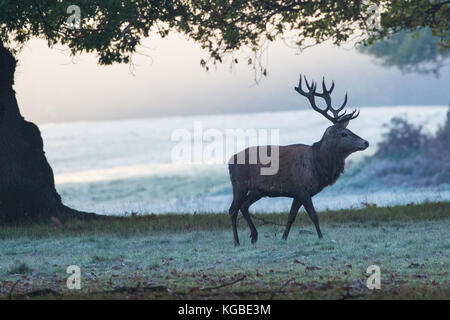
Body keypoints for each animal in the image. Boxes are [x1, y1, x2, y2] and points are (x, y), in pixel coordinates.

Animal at [229, 74, 370, 245]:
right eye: (344, 133)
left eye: (350, 130)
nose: (366, 142)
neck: (318, 165)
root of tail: (229, 162)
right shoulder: (302, 189)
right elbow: (314, 215)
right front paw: (321, 237)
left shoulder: (296, 193)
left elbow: (291, 216)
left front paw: (283, 238)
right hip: (239, 184)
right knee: (232, 210)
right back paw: (237, 242)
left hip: (258, 190)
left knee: (244, 206)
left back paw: (254, 236)